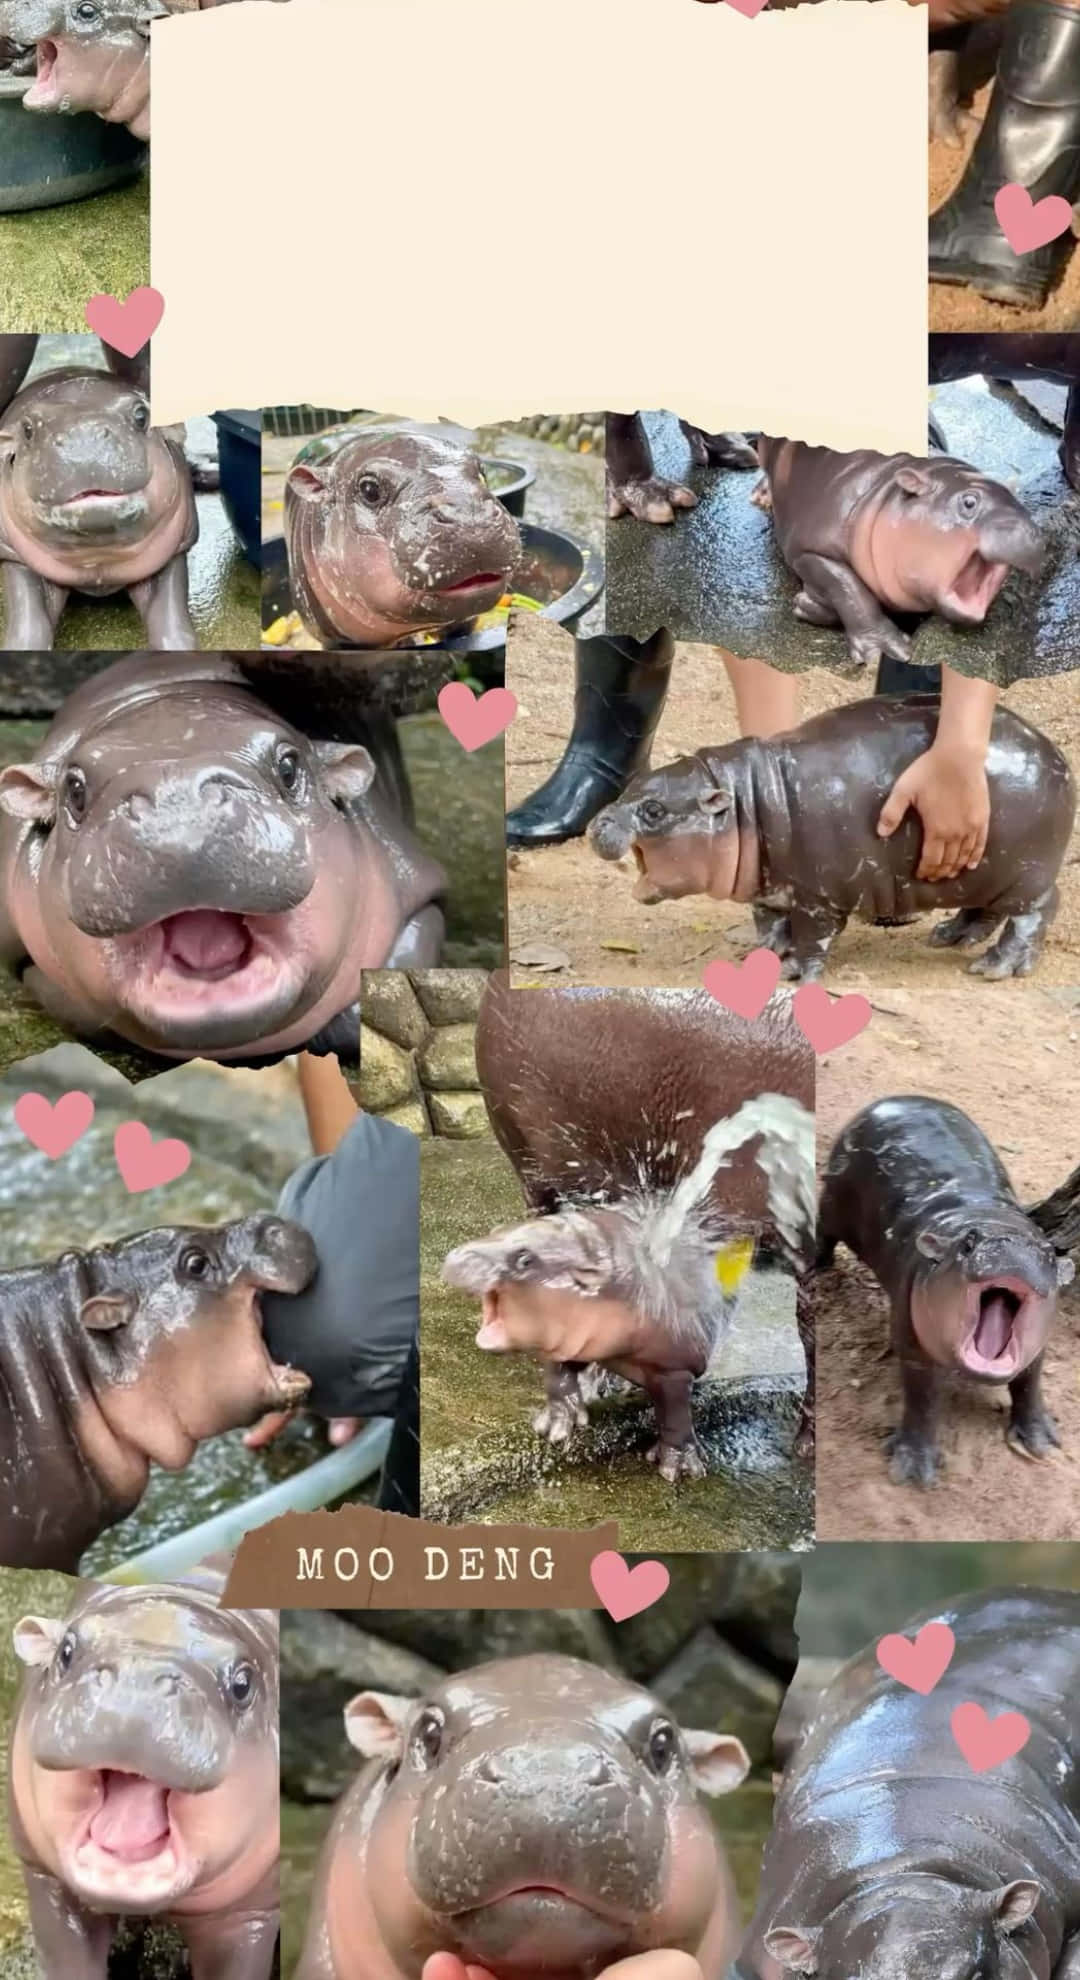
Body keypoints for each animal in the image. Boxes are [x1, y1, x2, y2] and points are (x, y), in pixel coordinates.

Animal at [0, 366, 198, 650]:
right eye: (27, 429)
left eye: (142, 416)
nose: (82, 436)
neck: (97, 555)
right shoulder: (15, 556)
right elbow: (30, 626)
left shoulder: (174, 550)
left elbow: (170, 623)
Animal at [9, 1576, 280, 1980]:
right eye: (66, 1651)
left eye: (243, 1683)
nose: (137, 1681)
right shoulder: (48, 1879)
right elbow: (68, 1958)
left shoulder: (250, 1916)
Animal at [589, 696, 1075, 982]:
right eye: (633, 784)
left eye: (654, 810)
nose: (597, 822)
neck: (745, 802)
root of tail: (1057, 754)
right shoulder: (771, 889)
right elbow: (769, 922)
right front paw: (765, 954)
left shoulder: (818, 897)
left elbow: (811, 937)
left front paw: (795, 973)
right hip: (982, 871)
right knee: (984, 910)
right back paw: (949, 937)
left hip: (1026, 876)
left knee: (1036, 912)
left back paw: (994, 968)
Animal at [753, 438, 1044, 668]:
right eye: (969, 502)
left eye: (1020, 502)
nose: (1033, 533)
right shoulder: (809, 551)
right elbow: (851, 590)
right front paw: (885, 651)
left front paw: (807, 605)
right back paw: (761, 497)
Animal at [818, 1096, 1076, 1486]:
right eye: (968, 1243)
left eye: (1048, 1252)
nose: (1011, 1248)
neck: (989, 1217)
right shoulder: (913, 1344)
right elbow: (922, 1399)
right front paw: (913, 1472)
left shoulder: (1036, 1347)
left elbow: (1029, 1384)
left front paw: (1041, 1442)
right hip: (831, 1202)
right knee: (820, 1234)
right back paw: (815, 1267)